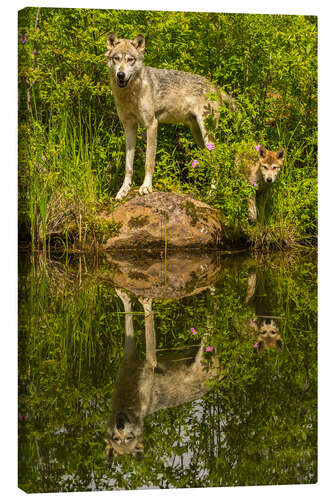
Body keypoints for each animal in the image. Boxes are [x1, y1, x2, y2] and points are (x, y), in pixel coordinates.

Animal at [105, 31, 235, 201]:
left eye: (130, 59)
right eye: (117, 58)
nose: (121, 75)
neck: (130, 94)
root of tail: (215, 86)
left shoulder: (152, 125)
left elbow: (149, 161)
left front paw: (146, 187)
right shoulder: (129, 127)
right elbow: (128, 165)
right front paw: (123, 190)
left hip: (207, 135)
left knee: (217, 163)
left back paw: (211, 194)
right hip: (198, 136)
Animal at [105, 290, 219, 460]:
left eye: (129, 437)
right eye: (116, 438)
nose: (120, 425)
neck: (128, 403)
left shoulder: (149, 361)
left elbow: (147, 322)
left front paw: (143, 303)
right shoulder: (130, 356)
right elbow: (130, 317)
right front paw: (126, 298)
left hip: (205, 344)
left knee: (212, 317)